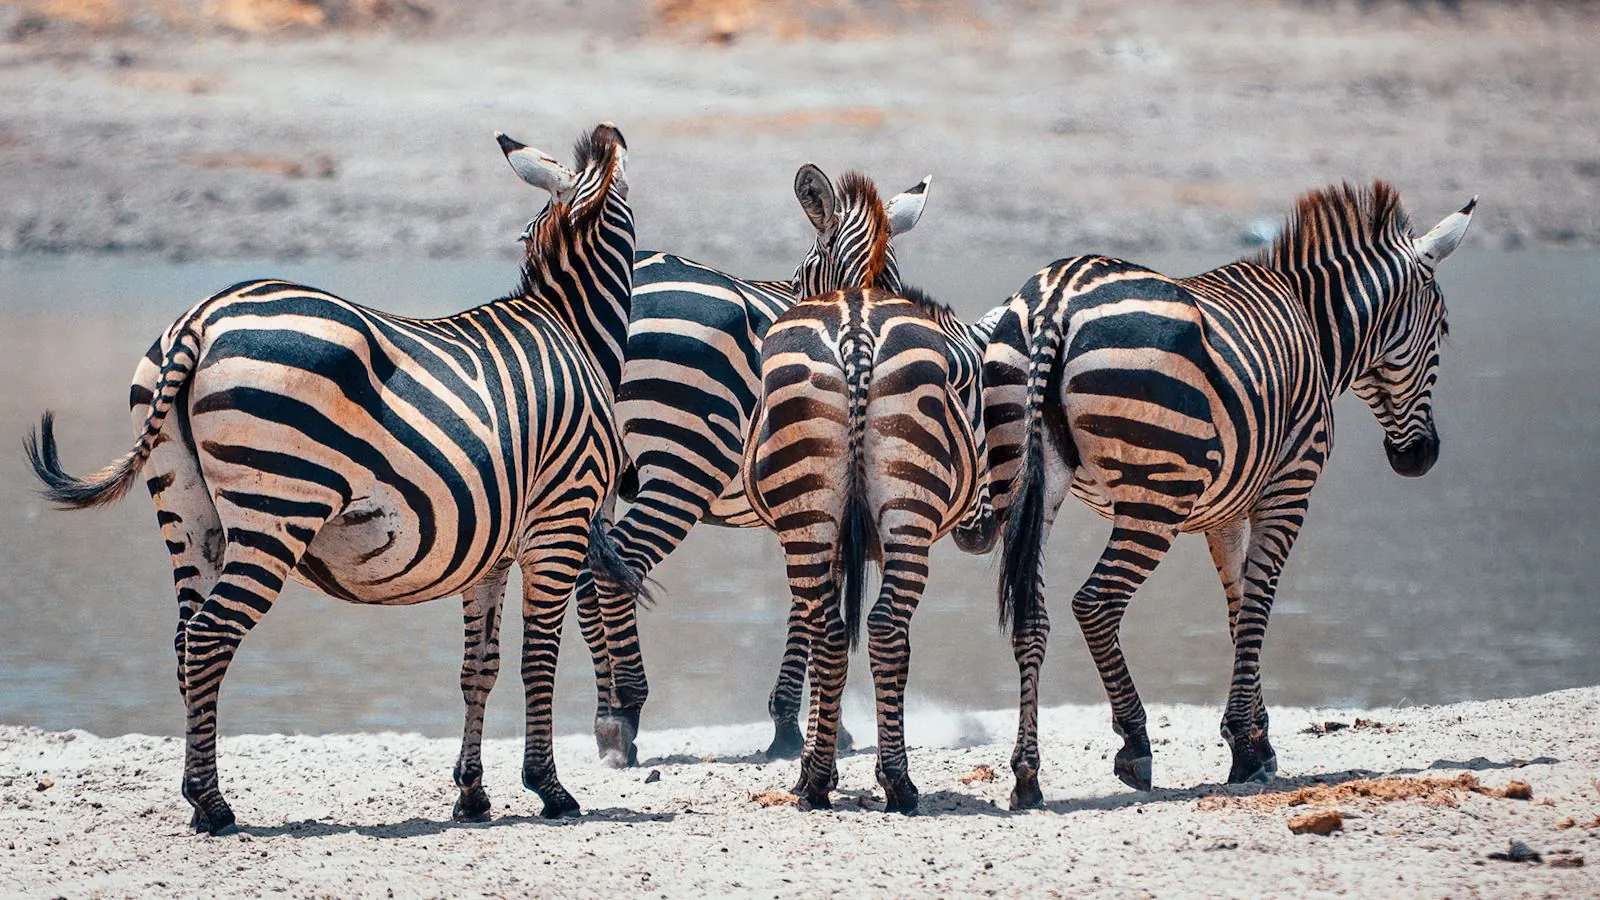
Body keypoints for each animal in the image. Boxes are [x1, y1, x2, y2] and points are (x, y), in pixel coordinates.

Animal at [21, 122, 636, 832]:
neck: (571, 328)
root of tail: (201, 317)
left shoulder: (495, 551)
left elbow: (478, 667)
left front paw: (473, 795)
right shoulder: (560, 519)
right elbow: (540, 658)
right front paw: (550, 789)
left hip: (185, 511)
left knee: (183, 639)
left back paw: (198, 796)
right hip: (275, 509)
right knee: (209, 635)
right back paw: (213, 804)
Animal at [569, 162, 934, 762]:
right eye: (807, 274)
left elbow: (811, 597)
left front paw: (807, 722)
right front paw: (799, 726)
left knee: (583, 575)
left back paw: (605, 713)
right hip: (685, 460)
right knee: (622, 564)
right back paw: (623, 715)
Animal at [739, 283, 998, 810]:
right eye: (981, 408)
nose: (983, 535)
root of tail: (855, 332)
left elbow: (811, 640)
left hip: (817, 515)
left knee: (842, 633)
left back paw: (829, 781)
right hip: (900, 517)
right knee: (879, 629)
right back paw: (889, 780)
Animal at [985, 182, 1472, 807]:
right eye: (1442, 329)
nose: (1419, 458)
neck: (1314, 329)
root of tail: (1055, 300)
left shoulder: (1227, 511)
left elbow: (1239, 607)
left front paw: (1253, 737)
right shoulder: (1290, 485)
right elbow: (1259, 605)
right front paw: (1247, 749)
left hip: (1027, 481)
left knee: (1033, 615)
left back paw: (1027, 775)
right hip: (1156, 497)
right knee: (1095, 603)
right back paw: (1135, 744)